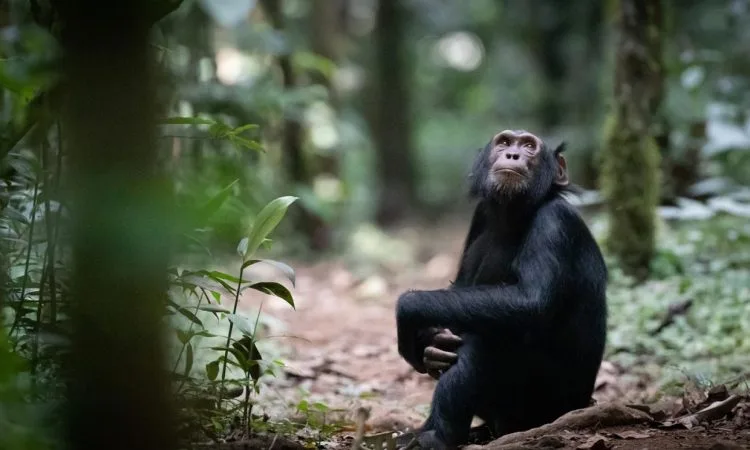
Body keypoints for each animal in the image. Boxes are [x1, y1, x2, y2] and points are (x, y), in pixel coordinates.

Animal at [396, 128, 608, 448]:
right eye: (505, 142)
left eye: (530, 146)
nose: (513, 154)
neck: (514, 215)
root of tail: (583, 404)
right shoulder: (480, 215)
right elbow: (460, 287)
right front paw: (431, 344)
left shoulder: (555, 222)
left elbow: (530, 302)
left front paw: (409, 313)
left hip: (540, 408)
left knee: (489, 334)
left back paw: (440, 437)